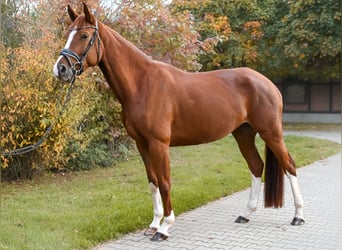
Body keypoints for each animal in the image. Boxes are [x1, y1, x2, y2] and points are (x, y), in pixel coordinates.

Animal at [52, 3, 304, 241]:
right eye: (68, 33)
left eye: (84, 36)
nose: (60, 69)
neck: (142, 84)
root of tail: (268, 83)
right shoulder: (142, 144)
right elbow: (153, 182)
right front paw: (154, 224)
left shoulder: (159, 144)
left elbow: (165, 183)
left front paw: (164, 228)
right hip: (244, 134)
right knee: (256, 166)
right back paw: (245, 214)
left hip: (271, 132)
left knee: (289, 165)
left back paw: (298, 216)